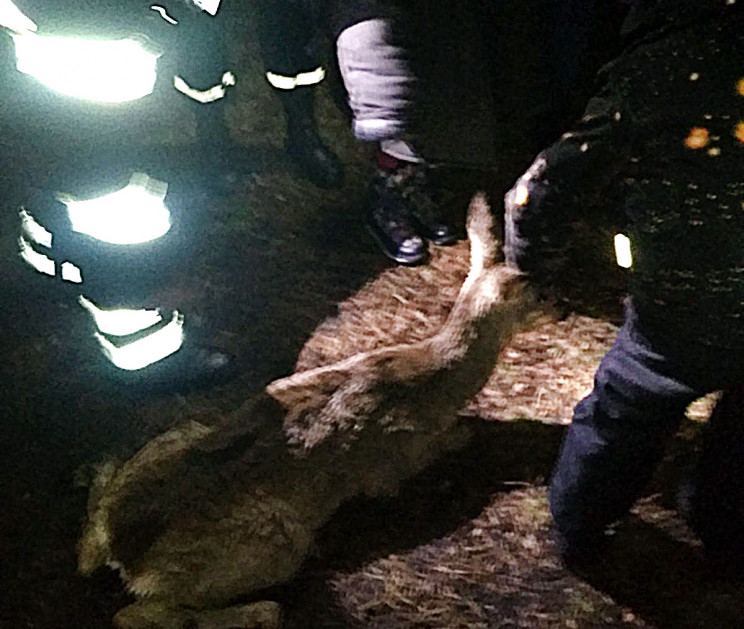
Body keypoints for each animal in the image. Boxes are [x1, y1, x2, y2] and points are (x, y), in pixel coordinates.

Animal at [78, 193, 528, 628]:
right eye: (537, 293)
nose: (549, 308)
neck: (432, 380)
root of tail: (123, 548)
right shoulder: (395, 463)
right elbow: (441, 444)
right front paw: (464, 431)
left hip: (187, 429)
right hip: (271, 542)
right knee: (137, 614)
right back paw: (262, 611)